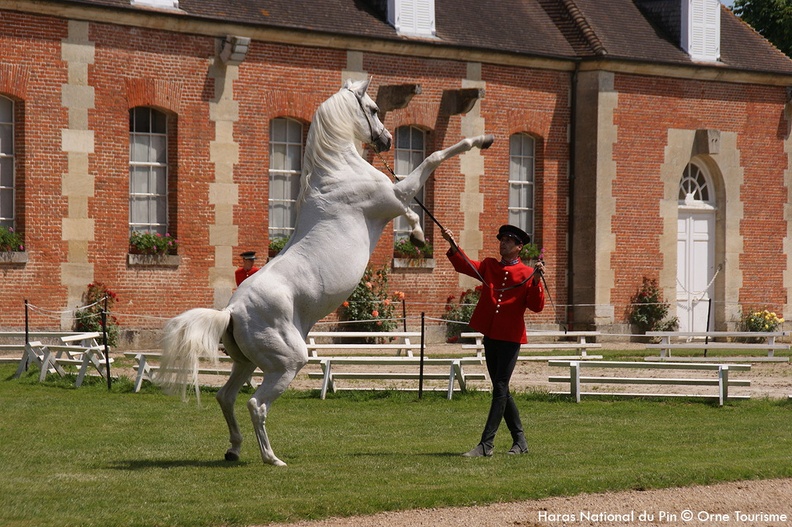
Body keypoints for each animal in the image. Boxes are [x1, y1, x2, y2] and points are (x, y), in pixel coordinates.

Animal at [157, 78, 492, 466]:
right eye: (373, 109)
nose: (386, 141)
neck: (337, 173)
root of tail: (232, 310)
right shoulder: (394, 197)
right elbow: (430, 163)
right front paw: (422, 230)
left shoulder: (393, 197)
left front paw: (420, 233)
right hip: (286, 363)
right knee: (255, 404)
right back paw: (272, 458)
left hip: (247, 363)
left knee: (225, 397)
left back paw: (234, 449)